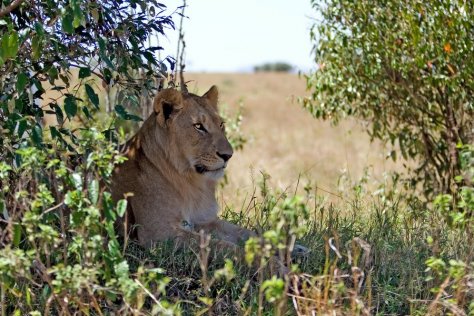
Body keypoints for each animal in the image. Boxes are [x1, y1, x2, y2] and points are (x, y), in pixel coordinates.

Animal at [111, 86, 256, 249]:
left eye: (221, 124)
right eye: (198, 126)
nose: (228, 155)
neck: (191, 182)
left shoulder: (204, 220)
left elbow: (247, 233)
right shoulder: (158, 233)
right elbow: (218, 246)